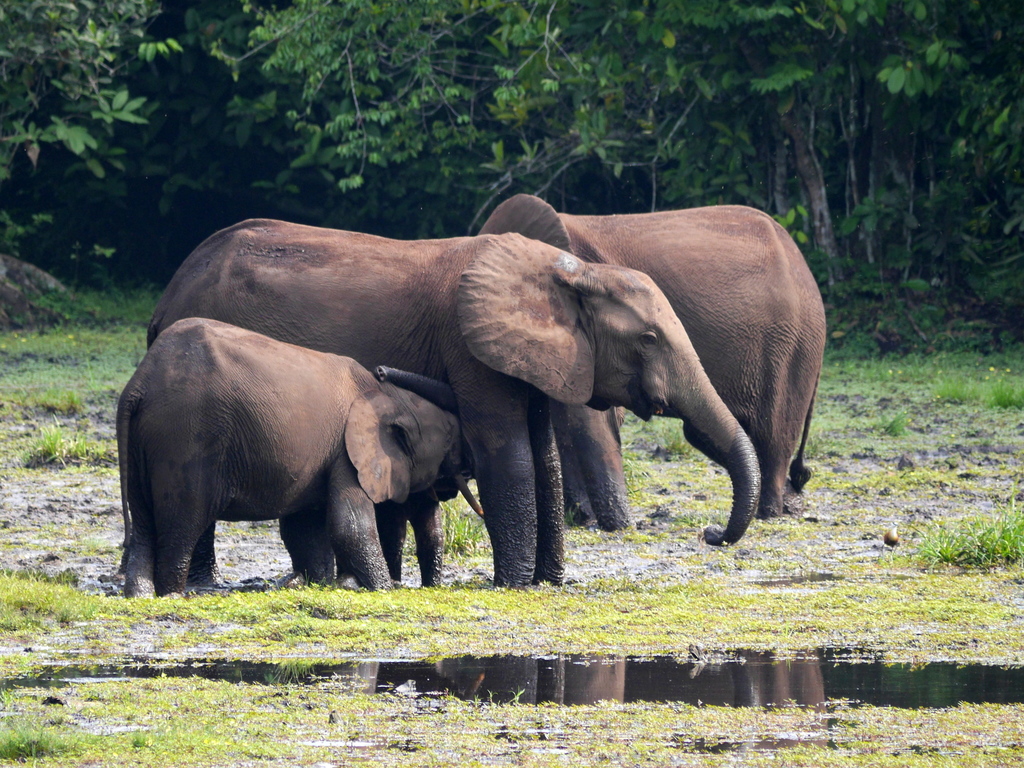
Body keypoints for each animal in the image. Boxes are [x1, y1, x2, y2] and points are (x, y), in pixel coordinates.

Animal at [118, 317, 478, 597]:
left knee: (143, 522)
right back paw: (172, 594)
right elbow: (350, 526)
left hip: (142, 445)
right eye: (449, 445)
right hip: (185, 440)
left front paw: (323, 584)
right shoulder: (346, 452)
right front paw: (385, 590)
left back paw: (141, 595)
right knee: (183, 522)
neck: (391, 397)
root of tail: (138, 386)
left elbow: (304, 526)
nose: (382, 369)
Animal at [147, 221, 761, 587]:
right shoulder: (470, 349)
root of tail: (169, 291)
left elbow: (544, 458)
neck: (568, 275)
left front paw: (550, 582)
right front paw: (515, 584)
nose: (711, 534)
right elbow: (509, 458)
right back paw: (201, 586)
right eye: (649, 340)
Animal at [479, 194, 826, 527]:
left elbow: (587, 421)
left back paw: (770, 512)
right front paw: (580, 518)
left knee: (773, 434)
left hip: (791, 348)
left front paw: (614, 524)